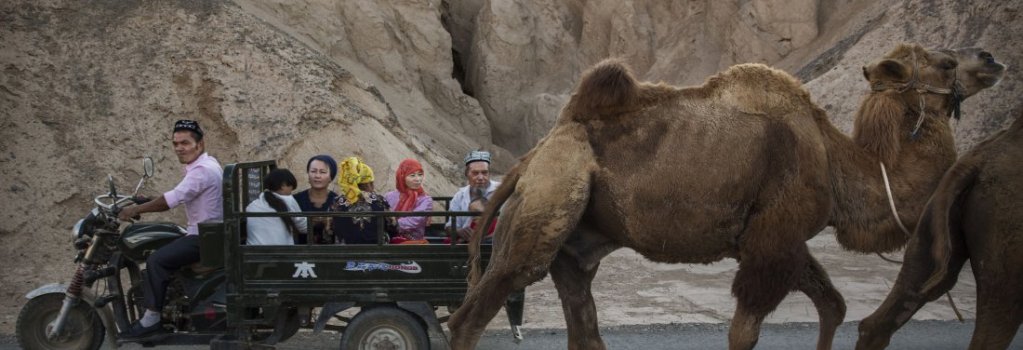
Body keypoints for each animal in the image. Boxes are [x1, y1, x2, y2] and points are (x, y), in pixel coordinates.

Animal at [450, 44, 1006, 350]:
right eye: (946, 62)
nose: (992, 58)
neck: (837, 159)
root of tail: (533, 154)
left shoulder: (779, 239)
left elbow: (834, 305)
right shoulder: (774, 238)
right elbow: (745, 332)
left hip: (579, 238)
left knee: (582, 318)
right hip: (550, 198)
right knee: (471, 314)